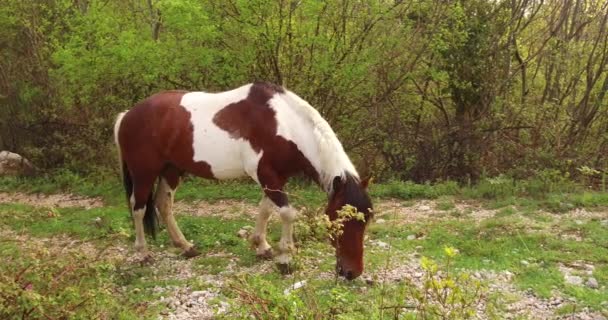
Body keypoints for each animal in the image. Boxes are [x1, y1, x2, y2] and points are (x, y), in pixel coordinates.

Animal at [111, 81, 372, 278]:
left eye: (366, 220)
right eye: (340, 220)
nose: (352, 273)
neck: (282, 124)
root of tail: (126, 115)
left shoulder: (276, 178)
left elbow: (266, 210)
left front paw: (262, 246)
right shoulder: (266, 175)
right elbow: (287, 213)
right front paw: (285, 259)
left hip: (171, 170)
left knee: (163, 204)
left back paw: (186, 247)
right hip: (144, 173)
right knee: (138, 207)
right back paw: (143, 253)